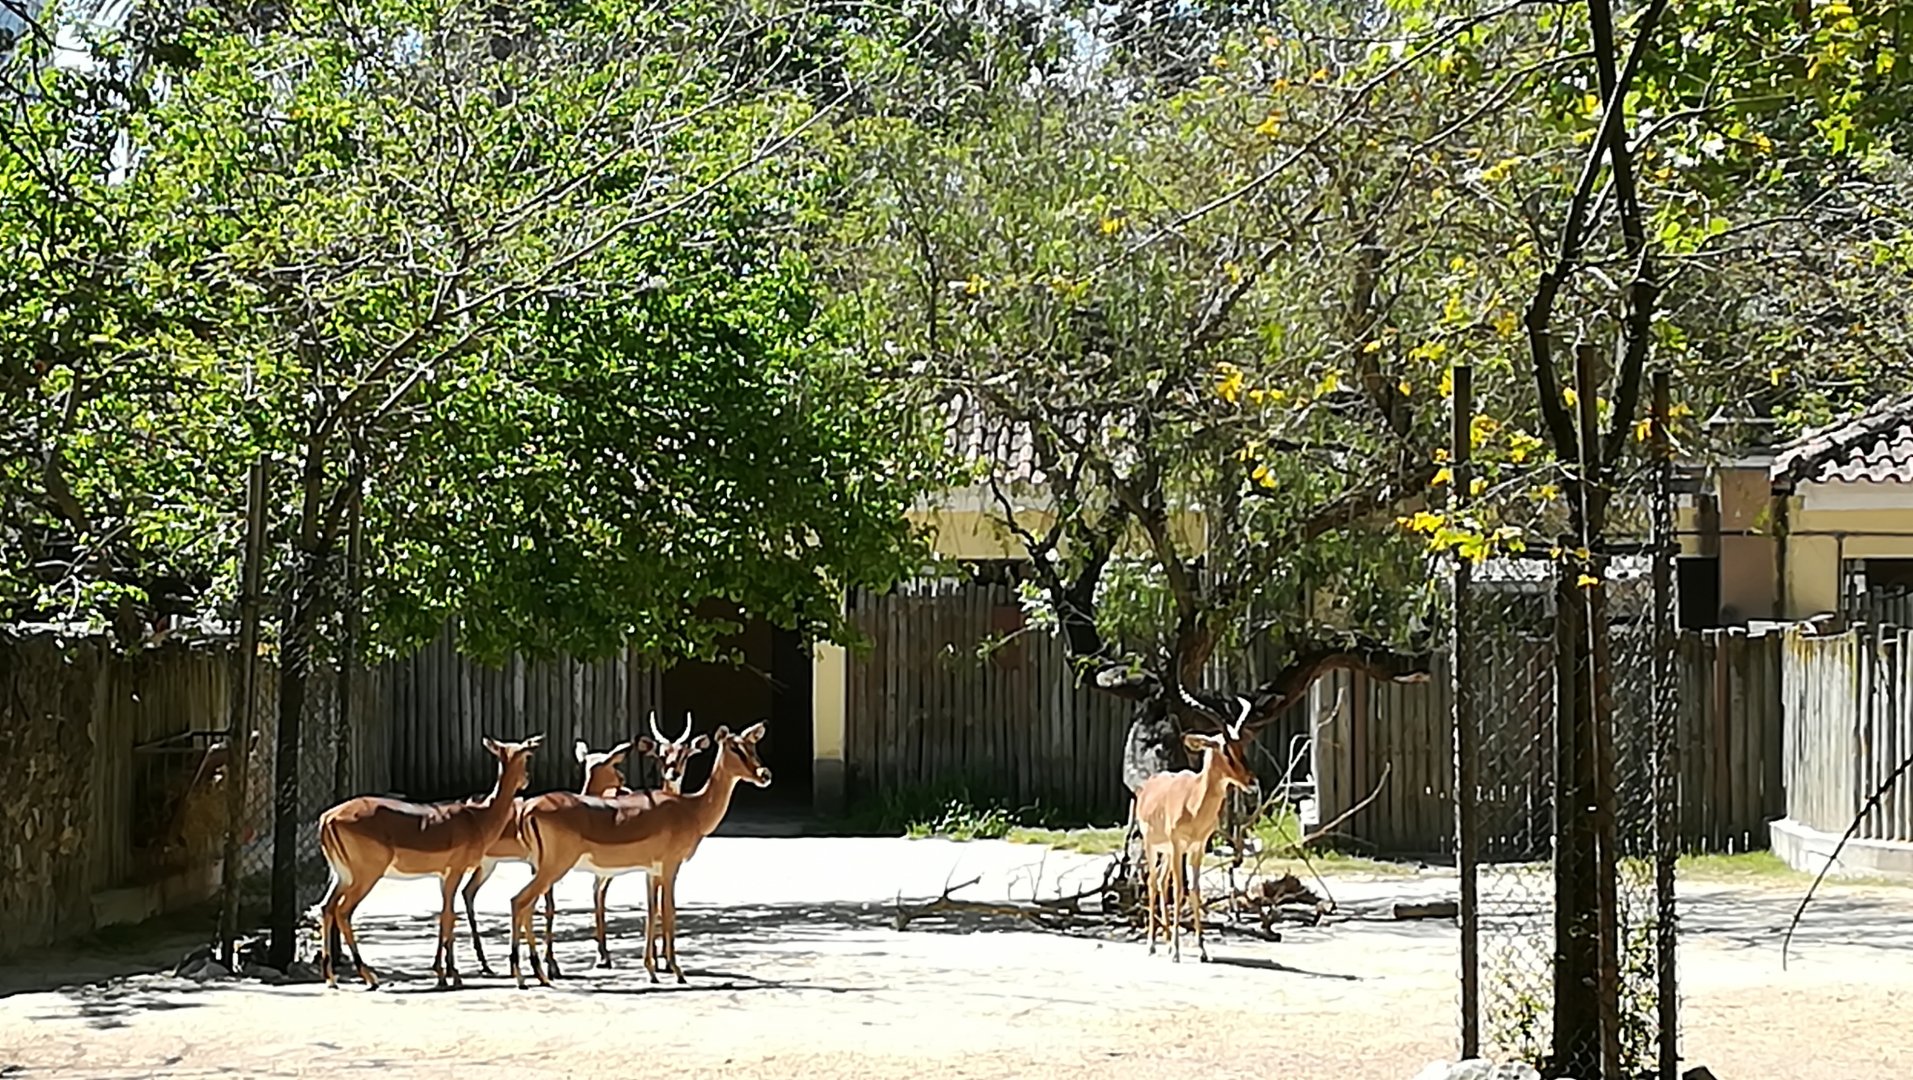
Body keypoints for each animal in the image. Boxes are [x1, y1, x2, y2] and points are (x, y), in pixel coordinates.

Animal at [317, 735, 543, 989]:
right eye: (526, 755)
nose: (526, 780)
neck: (478, 819)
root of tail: (327, 818)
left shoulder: (444, 875)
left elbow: (446, 915)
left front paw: (443, 972)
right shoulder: (456, 871)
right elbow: (448, 916)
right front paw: (452, 973)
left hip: (342, 875)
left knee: (326, 907)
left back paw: (331, 978)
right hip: (365, 875)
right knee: (343, 911)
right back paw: (369, 977)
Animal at [508, 721, 772, 988]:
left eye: (752, 745)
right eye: (734, 748)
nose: (764, 774)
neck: (692, 809)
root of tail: (529, 807)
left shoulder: (651, 871)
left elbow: (651, 911)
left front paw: (652, 970)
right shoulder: (670, 867)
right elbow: (669, 911)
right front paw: (676, 970)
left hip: (543, 869)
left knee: (528, 906)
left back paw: (541, 975)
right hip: (554, 868)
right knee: (519, 901)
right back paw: (524, 975)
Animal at [1133, 690, 1257, 963]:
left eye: (1242, 746)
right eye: (1225, 749)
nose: (1251, 782)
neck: (1193, 802)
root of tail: (1149, 786)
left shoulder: (1197, 847)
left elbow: (1195, 891)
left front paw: (1201, 950)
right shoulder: (1179, 845)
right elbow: (1180, 890)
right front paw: (1177, 952)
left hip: (1168, 852)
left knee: (1161, 881)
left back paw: (1167, 940)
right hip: (1154, 846)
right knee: (1152, 883)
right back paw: (1152, 945)